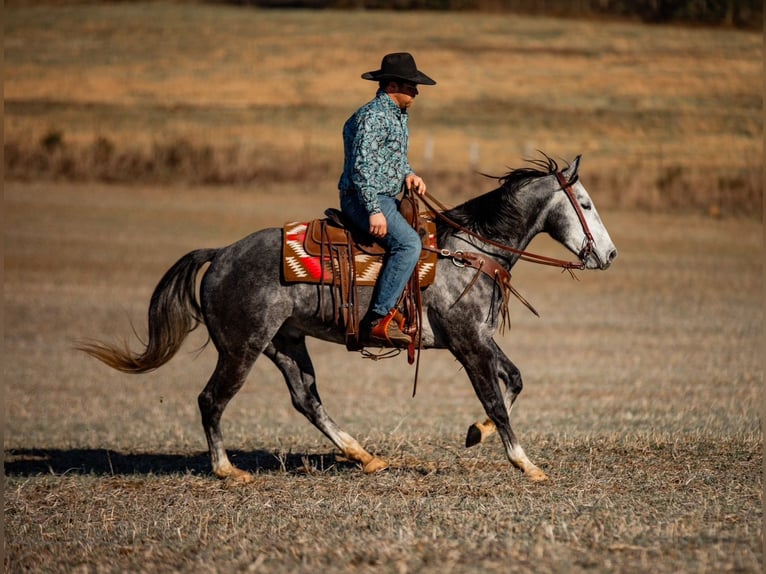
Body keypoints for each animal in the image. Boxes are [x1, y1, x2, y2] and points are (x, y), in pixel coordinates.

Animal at [77, 154, 617, 483]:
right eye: (586, 203)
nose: (609, 254)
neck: (468, 252)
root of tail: (221, 254)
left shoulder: (480, 338)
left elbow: (515, 381)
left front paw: (475, 433)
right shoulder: (467, 343)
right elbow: (498, 400)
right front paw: (525, 463)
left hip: (285, 342)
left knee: (307, 400)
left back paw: (364, 456)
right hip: (241, 347)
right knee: (212, 400)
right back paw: (228, 470)